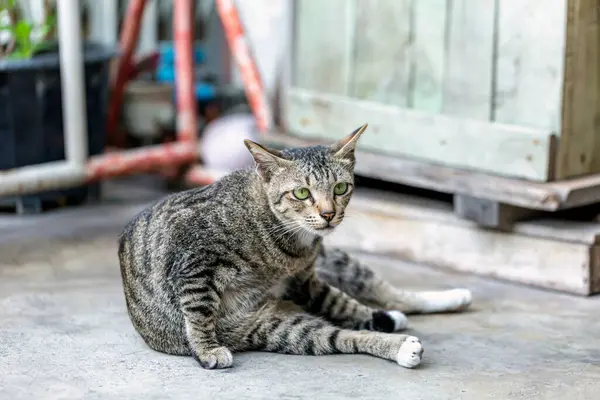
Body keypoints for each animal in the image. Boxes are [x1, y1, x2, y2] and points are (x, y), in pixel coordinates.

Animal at [118, 124, 474, 368]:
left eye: (341, 188)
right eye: (301, 193)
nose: (328, 214)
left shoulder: (304, 280)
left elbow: (345, 304)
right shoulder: (192, 260)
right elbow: (198, 310)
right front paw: (206, 349)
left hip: (321, 283)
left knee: (375, 301)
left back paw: (438, 303)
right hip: (280, 329)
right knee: (344, 335)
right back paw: (400, 344)